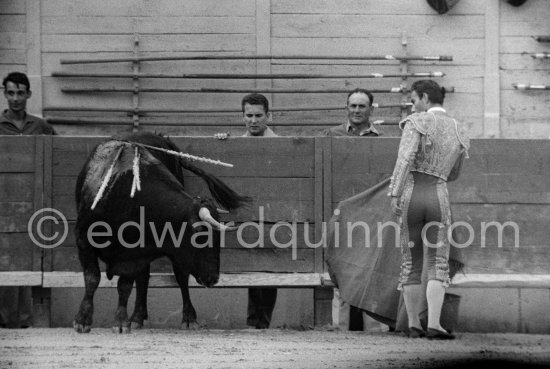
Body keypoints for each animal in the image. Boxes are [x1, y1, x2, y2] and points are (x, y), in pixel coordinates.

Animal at [74, 133, 250, 334]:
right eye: (202, 236)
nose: (213, 278)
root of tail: (161, 137)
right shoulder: (83, 241)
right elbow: (92, 278)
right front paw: (83, 321)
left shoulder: (132, 255)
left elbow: (124, 286)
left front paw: (120, 322)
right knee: (143, 278)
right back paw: (137, 318)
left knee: (177, 277)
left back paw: (186, 319)